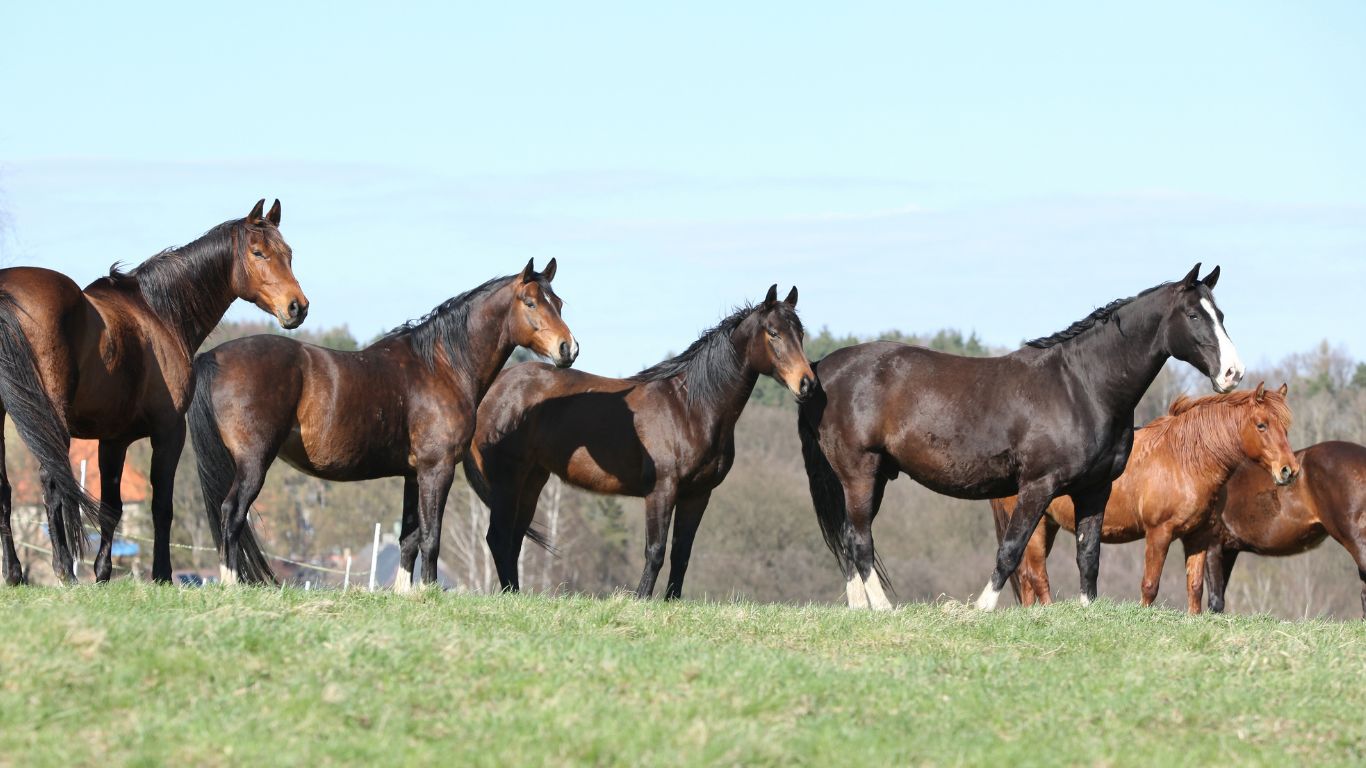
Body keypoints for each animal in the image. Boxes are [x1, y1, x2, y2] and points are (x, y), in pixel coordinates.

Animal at [0, 199, 307, 584]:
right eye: (258, 252)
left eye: (289, 254)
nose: (297, 307)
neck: (158, 313)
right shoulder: (170, 431)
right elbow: (162, 506)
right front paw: (161, 574)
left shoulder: (113, 440)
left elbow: (112, 507)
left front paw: (102, 574)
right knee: (51, 479)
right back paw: (64, 571)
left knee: (6, 489)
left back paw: (15, 573)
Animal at [190, 259, 576, 587]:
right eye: (530, 302)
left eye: (558, 302)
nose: (568, 349)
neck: (440, 367)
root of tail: (212, 357)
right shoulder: (437, 469)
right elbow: (431, 537)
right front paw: (429, 593)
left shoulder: (413, 474)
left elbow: (409, 539)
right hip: (254, 463)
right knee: (231, 514)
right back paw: (230, 584)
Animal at [466, 285, 814, 600]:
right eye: (773, 333)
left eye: (800, 333)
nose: (806, 384)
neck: (690, 407)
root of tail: (494, 389)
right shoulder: (662, 489)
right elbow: (656, 550)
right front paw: (641, 600)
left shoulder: (698, 494)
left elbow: (682, 553)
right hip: (508, 479)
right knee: (498, 537)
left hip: (532, 479)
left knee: (513, 538)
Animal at [798, 264, 1244, 611]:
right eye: (1193, 316)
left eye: (1221, 314)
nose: (1233, 373)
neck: (1081, 386)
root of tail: (823, 367)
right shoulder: (1037, 485)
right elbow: (1012, 550)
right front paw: (980, 609)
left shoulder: (1095, 488)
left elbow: (1088, 555)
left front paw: (1087, 612)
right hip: (859, 474)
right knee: (859, 541)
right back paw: (885, 609)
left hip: (872, 478)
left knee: (849, 539)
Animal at [989, 383, 1296, 613]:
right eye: (1261, 425)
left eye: (1286, 427)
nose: (1288, 470)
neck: (1185, 459)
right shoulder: (1159, 533)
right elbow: (1150, 585)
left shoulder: (1199, 536)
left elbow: (1195, 587)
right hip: (1037, 523)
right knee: (1037, 575)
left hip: (1047, 525)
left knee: (1026, 577)